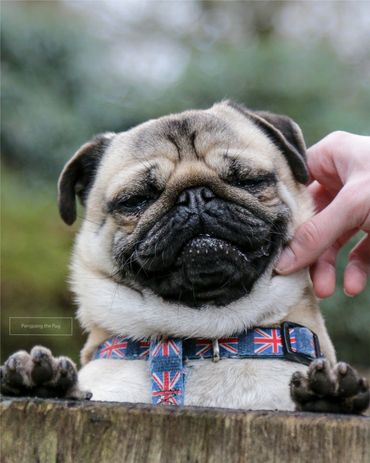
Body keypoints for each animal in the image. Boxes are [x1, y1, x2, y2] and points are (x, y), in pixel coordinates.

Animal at [1, 101, 368, 414]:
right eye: (136, 200)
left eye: (248, 180)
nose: (194, 195)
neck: (206, 339)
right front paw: (41, 381)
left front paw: (330, 394)